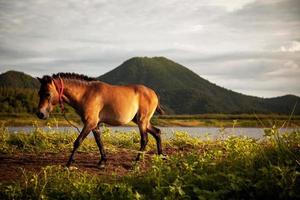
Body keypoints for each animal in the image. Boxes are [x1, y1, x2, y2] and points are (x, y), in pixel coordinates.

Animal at [37, 72, 165, 168]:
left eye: (48, 94)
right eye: (39, 93)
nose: (40, 114)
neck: (86, 93)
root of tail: (153, 93)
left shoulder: (90, 123)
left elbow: (78, 142)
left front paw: (68, 164)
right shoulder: (95, 124)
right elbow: (99, 142)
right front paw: (102, 161)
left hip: (142, 121)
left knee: (144, 139)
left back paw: (136, 162)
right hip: (142, 121)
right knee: (157, 132)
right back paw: (161, 156)